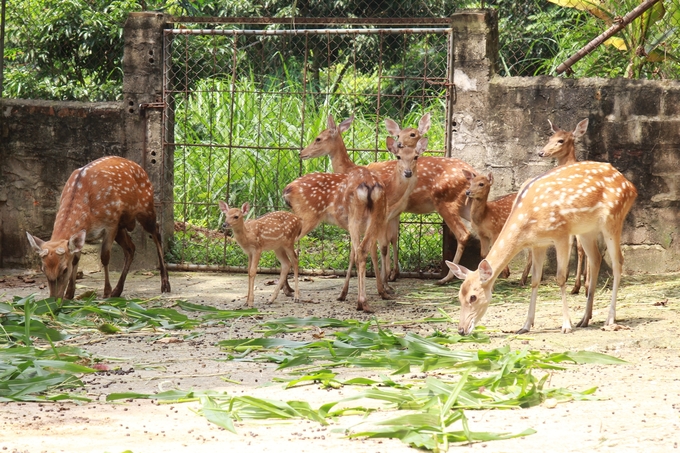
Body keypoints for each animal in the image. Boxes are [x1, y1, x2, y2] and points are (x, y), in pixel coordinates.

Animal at [26, 155, 170, 300]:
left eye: (64, 269)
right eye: (43, 270)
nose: (54, 299)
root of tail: (141, 169)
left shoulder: (111, 223)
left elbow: (105, 257)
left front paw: (106, 292)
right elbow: (76, 259)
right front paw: (69, 293)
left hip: (146, 207)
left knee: (156, 232)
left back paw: (165, 284)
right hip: (121, 225)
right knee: (131, 248)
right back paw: (117, 291)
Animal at [300, 113, 476, 282]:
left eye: (318, 138)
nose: (301, 153)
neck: (350, 169)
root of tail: (472, 171)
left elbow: (382, 243)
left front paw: (386, 275)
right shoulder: (394, 213)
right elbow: (392, 239)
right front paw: (393, 274)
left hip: (445, 200)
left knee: (463, 234)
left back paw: (447, 278)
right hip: (465, 204)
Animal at [446, 158, 636, 332]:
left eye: (473, 297)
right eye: (459, 295)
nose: (461, 330)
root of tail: (631, 187)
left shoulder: (561, 234)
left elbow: (560, 277)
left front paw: (566, 325)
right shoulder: (538, 244)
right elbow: (535, 280)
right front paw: (525, 326)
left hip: (613, 219)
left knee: (618, 262)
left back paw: (609, 319)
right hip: (586, 230)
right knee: (596, 259)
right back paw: (584, 319)